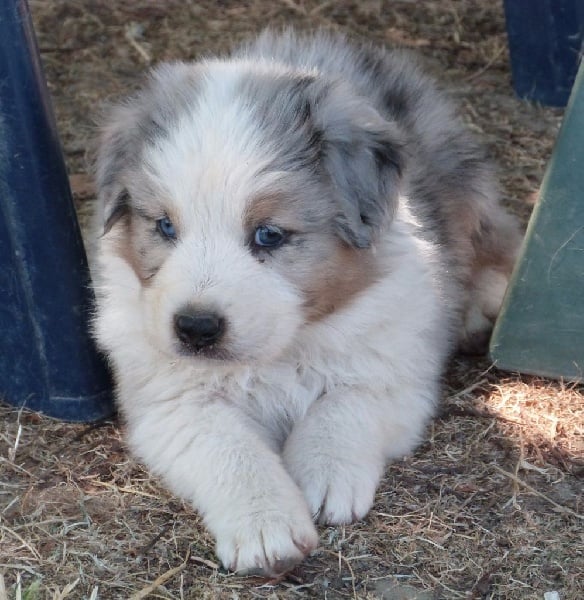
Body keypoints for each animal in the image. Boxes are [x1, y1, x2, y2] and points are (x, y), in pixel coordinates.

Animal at [91, 30, 520, 576]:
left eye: (269, 235)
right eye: (165, 226)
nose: (195, 328)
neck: (281, 352)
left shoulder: (395, 368)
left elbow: (344, 403)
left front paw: (326, 476)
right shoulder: (172, 401)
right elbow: (228, 447)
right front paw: (266, 528)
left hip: (460, 177)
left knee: (496, 235)